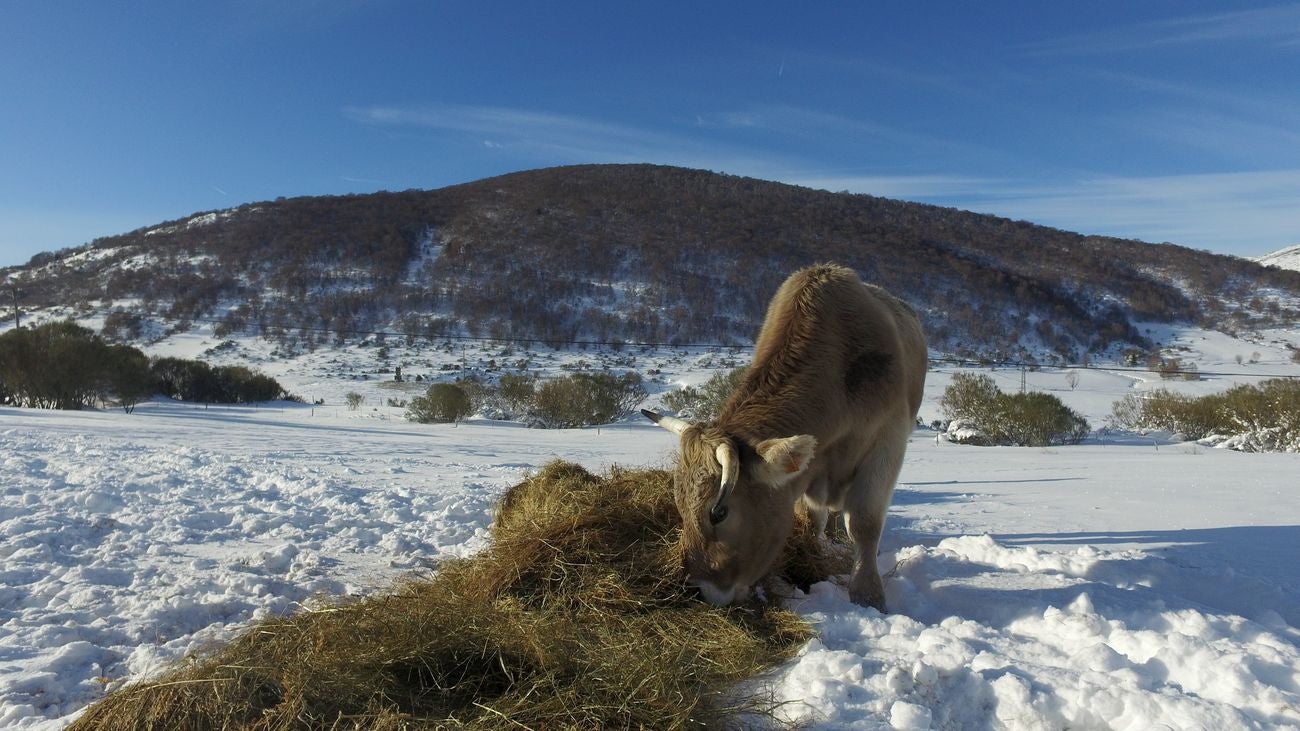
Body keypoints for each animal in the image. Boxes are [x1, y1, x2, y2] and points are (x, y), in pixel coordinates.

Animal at [639, 261, 925, 608]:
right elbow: (811, 520)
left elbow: (864, 523)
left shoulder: (887, 444)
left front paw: (867, 594)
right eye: (679, 504)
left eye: (719, 512)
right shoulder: (808, 471)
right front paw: (813, 558)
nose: (696, 589)